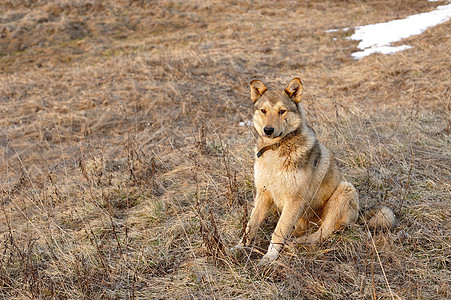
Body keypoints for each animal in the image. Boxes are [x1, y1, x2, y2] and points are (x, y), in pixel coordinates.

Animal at [233, 78, 396, 264]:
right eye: (263, 110)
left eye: (282, 111)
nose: (268, 130)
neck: (276, 150)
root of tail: (359, 215)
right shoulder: (263, 194)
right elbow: (250, 226)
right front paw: (239, 247)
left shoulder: (294, 199)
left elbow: (278, 231)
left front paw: (270, 257)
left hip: (344, 190)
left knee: (322, 233)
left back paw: (296, 243)